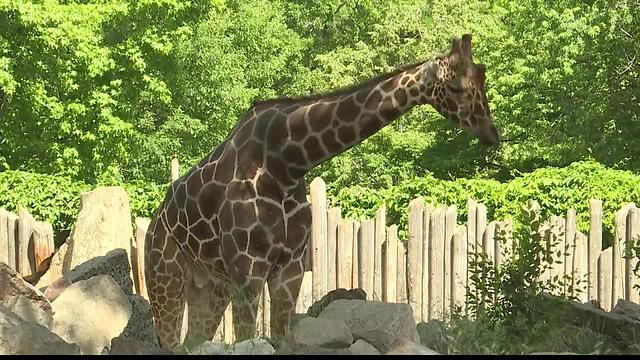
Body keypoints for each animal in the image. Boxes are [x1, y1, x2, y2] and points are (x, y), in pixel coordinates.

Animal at [145, 33, 500, 348]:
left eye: (483, 79)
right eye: (455, 86)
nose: (490, 133)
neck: (287, 162)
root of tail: (153, 225)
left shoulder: (290, 267)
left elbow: (283, 340)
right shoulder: (248, 268)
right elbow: (249, 339)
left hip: (209, 287)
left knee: (190, 342)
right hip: (165, 277)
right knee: (169, 340)